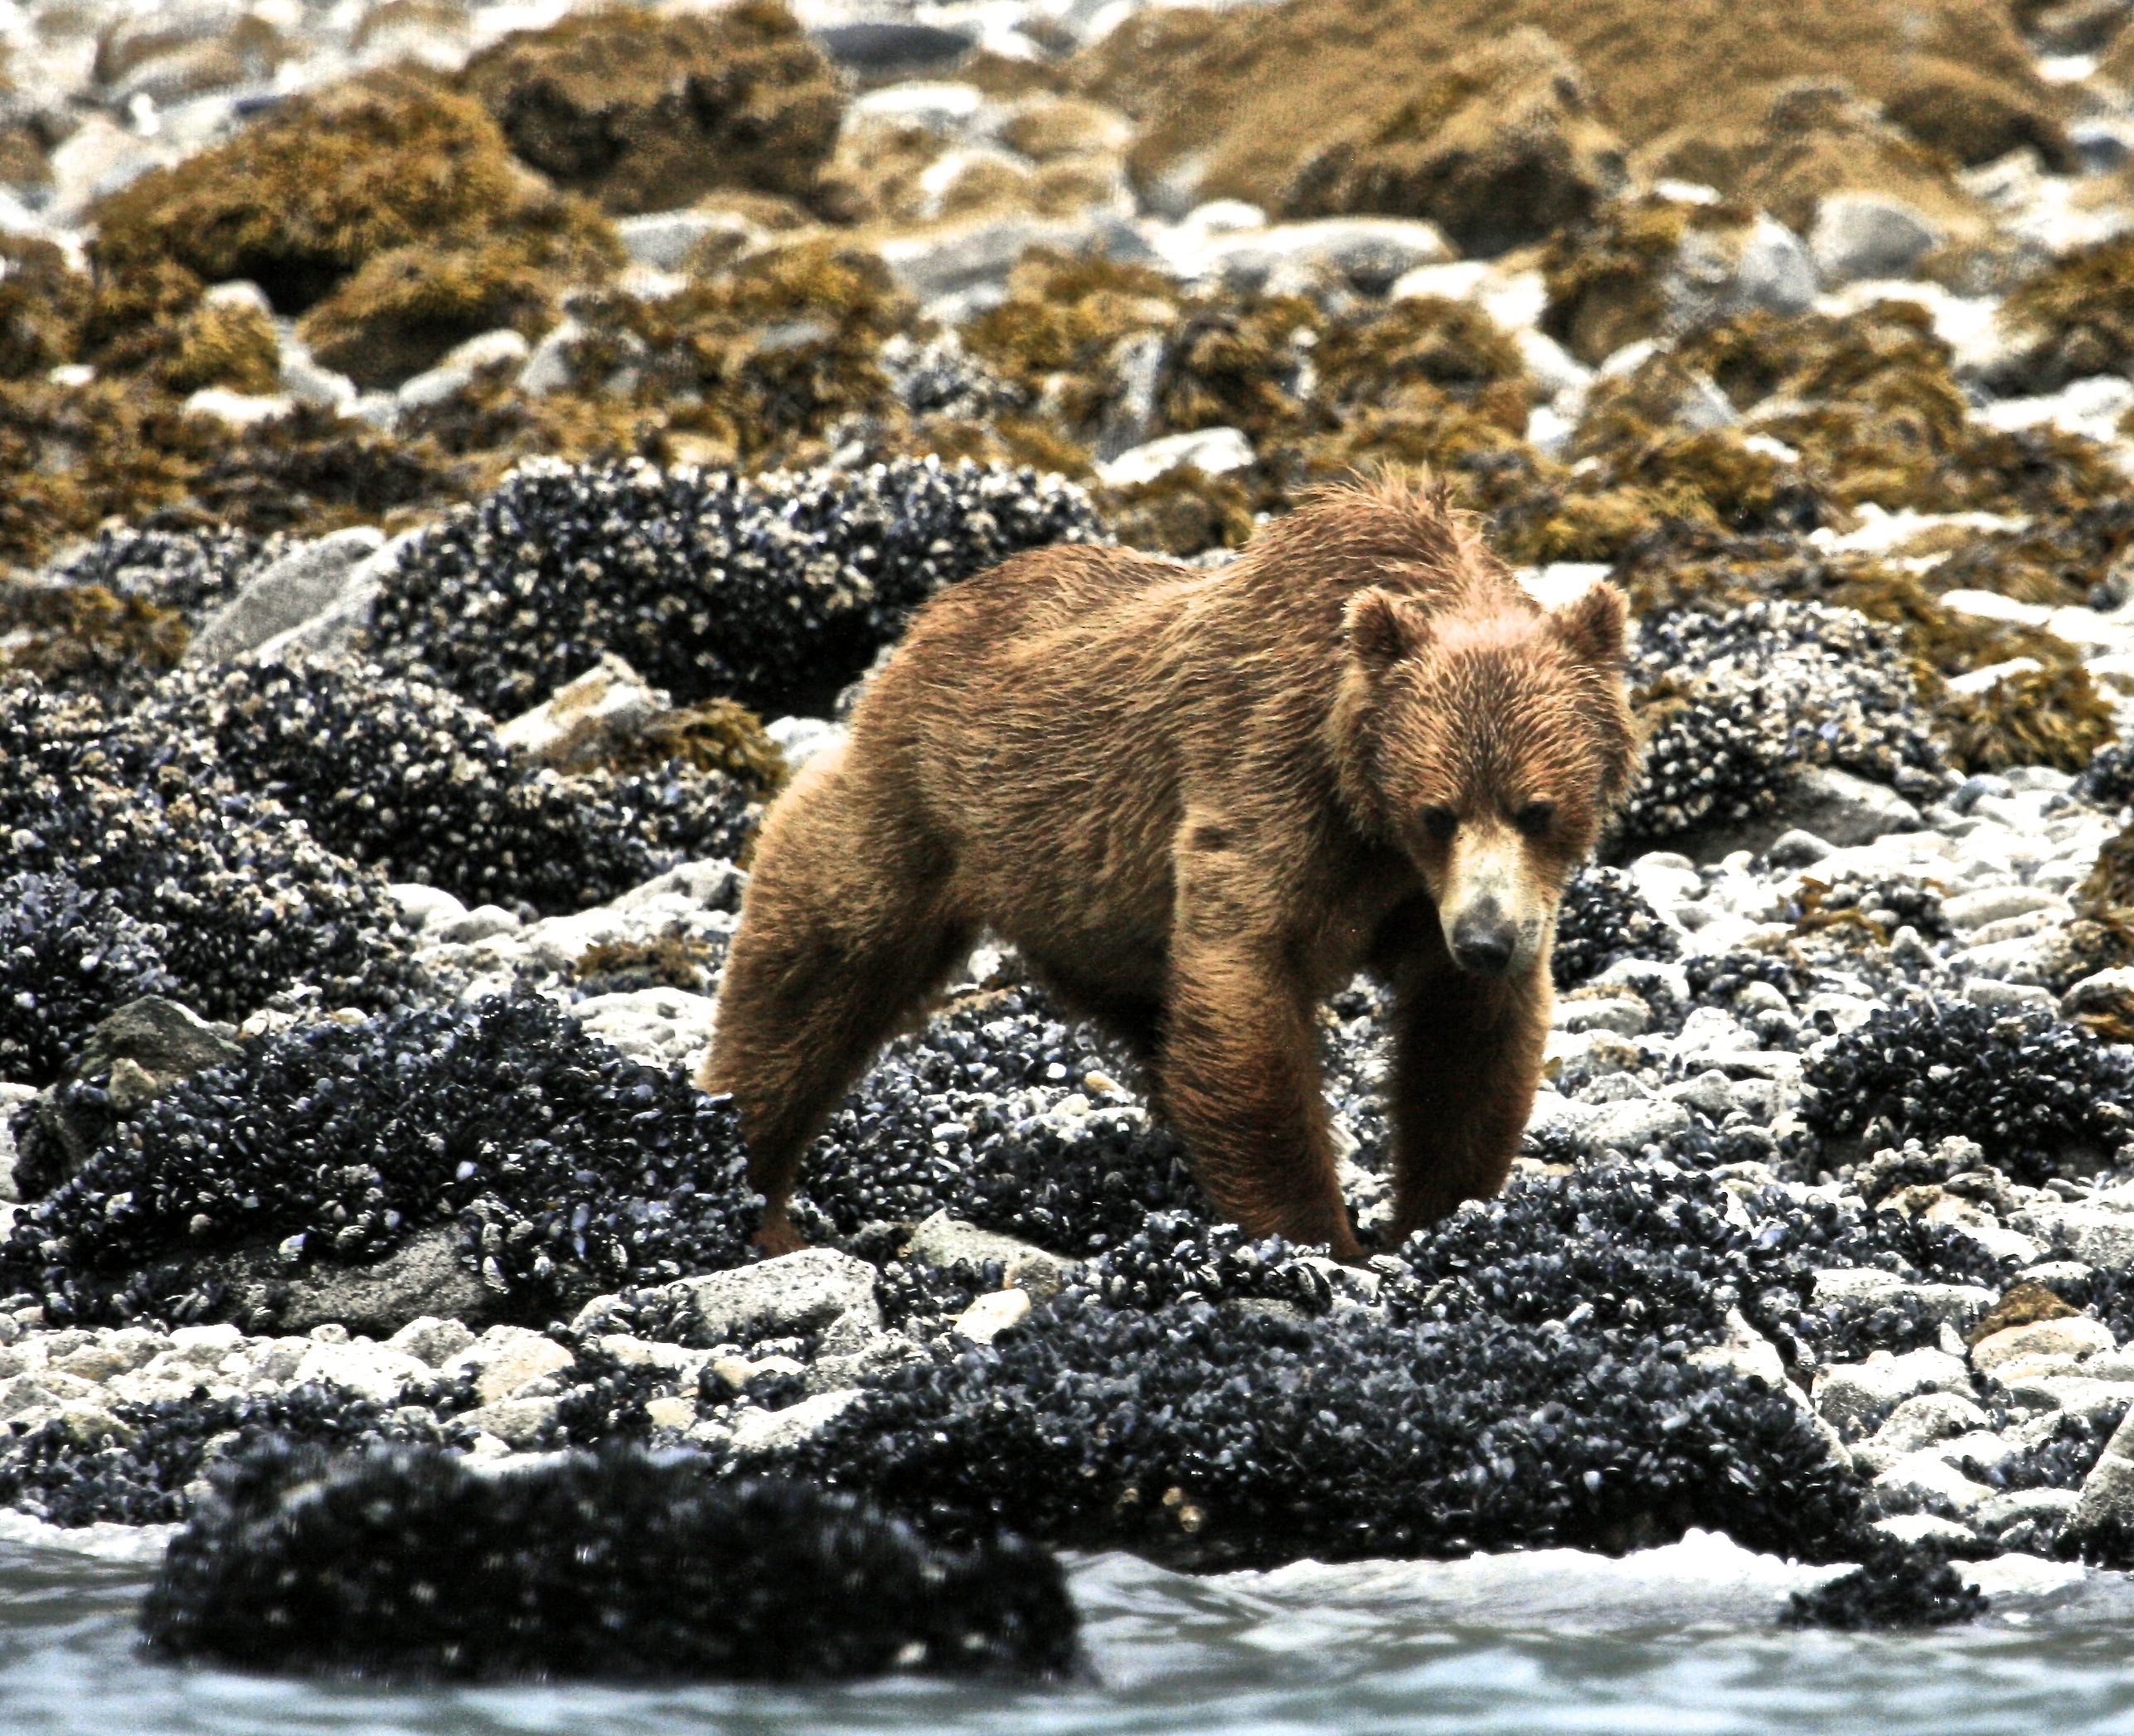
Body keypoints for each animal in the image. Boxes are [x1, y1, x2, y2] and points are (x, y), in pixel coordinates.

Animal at [700, 475, 1630, 1262]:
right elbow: (1247, 982)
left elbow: (1463, 1043)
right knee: (821, 956)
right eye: (1437, 812)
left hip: (1086, 914)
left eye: (1538, 807)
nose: (1485, 938)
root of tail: (929, 620)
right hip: (926, 800)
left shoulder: (1433, 898)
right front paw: (1318, 1239)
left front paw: (1442, 1216)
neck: (1369, 811)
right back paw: (747, 1186)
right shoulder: (1274, 784)